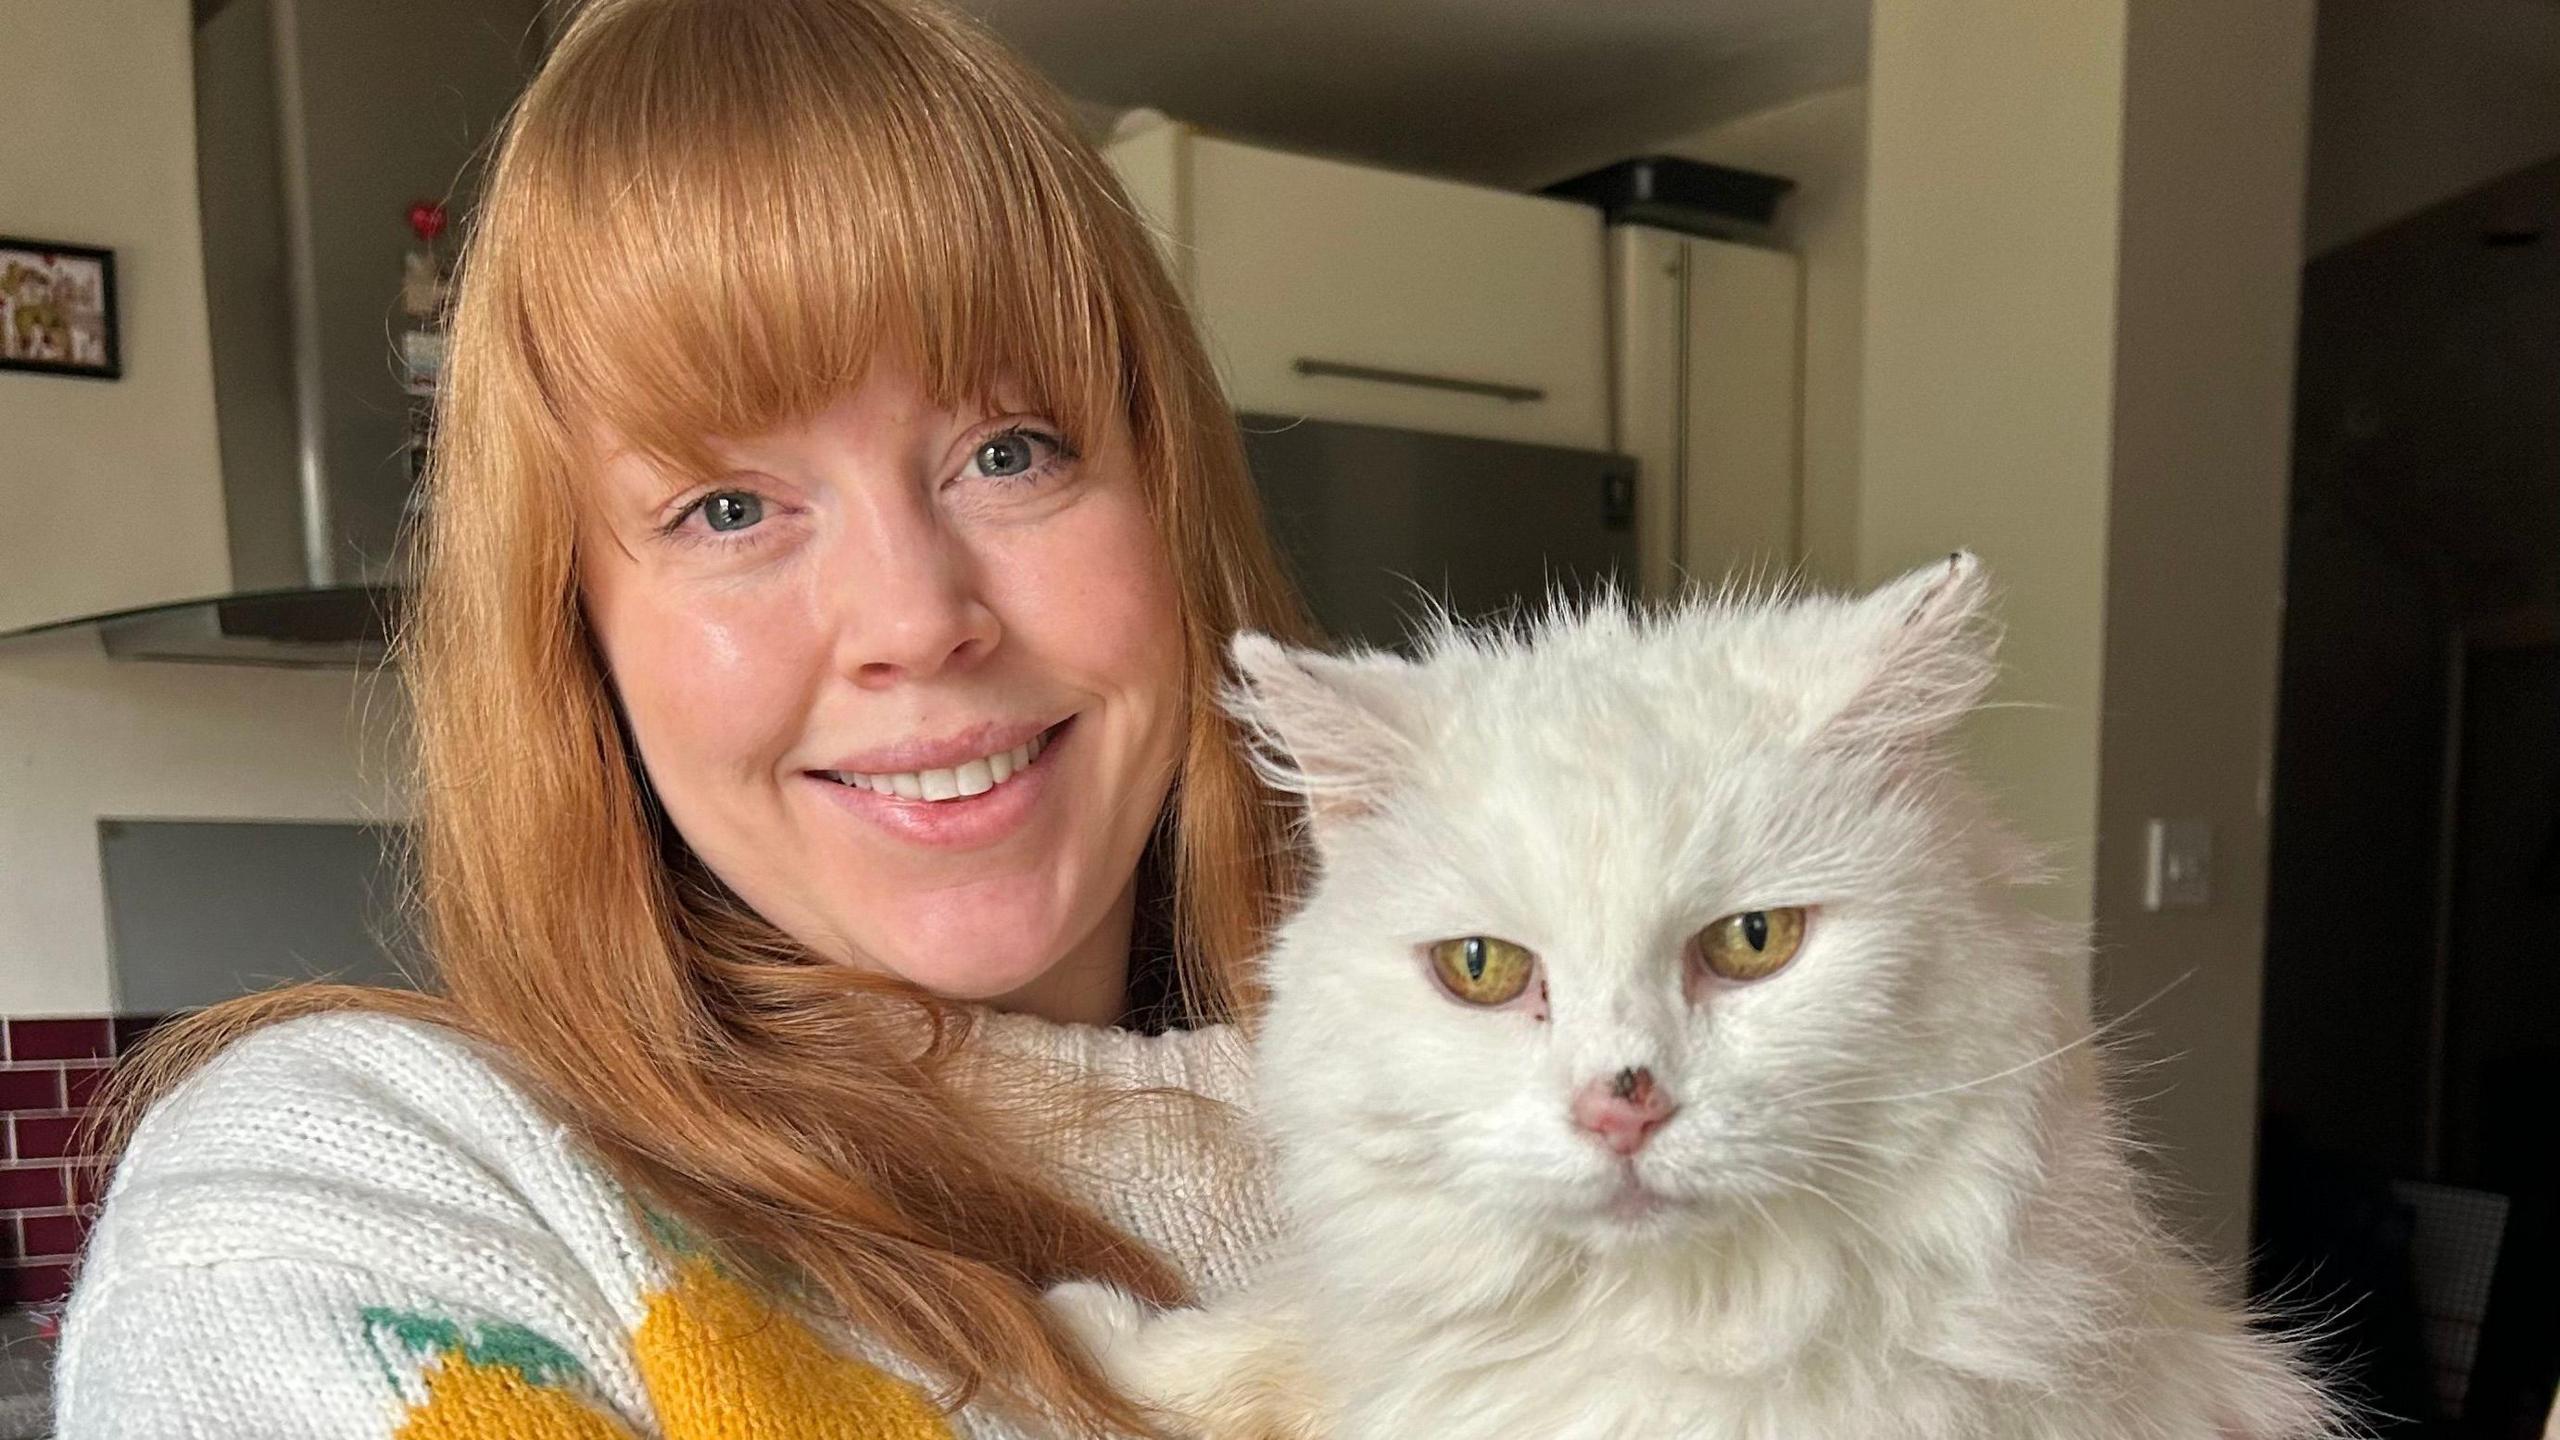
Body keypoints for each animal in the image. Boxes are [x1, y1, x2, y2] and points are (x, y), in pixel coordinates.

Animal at [1054, 556, 2344, 1434]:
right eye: (1482, 968)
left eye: (1752, 941)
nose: (1620, 1106)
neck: (1664, 1331)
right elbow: (1263, 1345)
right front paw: (1097, 1335)